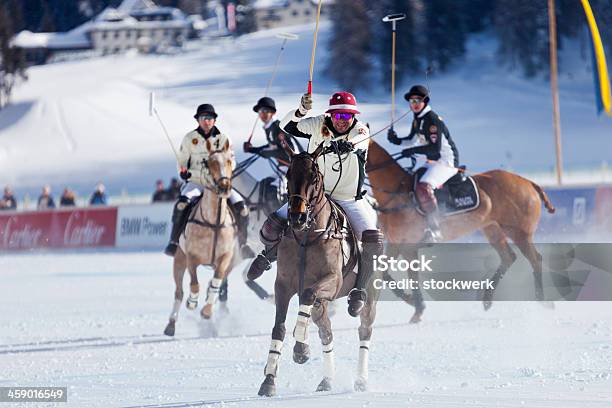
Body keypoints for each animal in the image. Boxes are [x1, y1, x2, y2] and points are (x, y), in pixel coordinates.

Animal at [163, 139, 237, 336]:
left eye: (229, 161)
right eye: (209, 163)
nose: (224, 187)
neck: (214, 222)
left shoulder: (225, 258)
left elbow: (216, 283)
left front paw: (207, 311)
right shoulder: (192, 257)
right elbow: (194, 285)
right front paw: (192, 302)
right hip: (179, 259)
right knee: (179, 291)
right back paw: (171, 324)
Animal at [255, 143, 376, 396]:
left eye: (314, 177)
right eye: (288, 175)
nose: (297, 217)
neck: (306, 237)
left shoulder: (332, 281)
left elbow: (308, 295)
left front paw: (301, 348)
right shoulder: (282, 285)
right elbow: (278, 329)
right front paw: (269, 380)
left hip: (370, 296)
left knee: (365, 329)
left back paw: (361, 380)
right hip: (323, 304)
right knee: (326, 332)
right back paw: (326, 380)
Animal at [366, 139, 556, 310]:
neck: (395, 191)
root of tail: (528, 182)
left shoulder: (408, 243)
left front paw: (414, 302)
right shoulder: (395, 242)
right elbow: (383, 272)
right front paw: (409, 299)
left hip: (519, 232)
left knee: (535, 259)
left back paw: (542, 301)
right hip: (492, 228)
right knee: (509, 257)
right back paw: (487, 299)